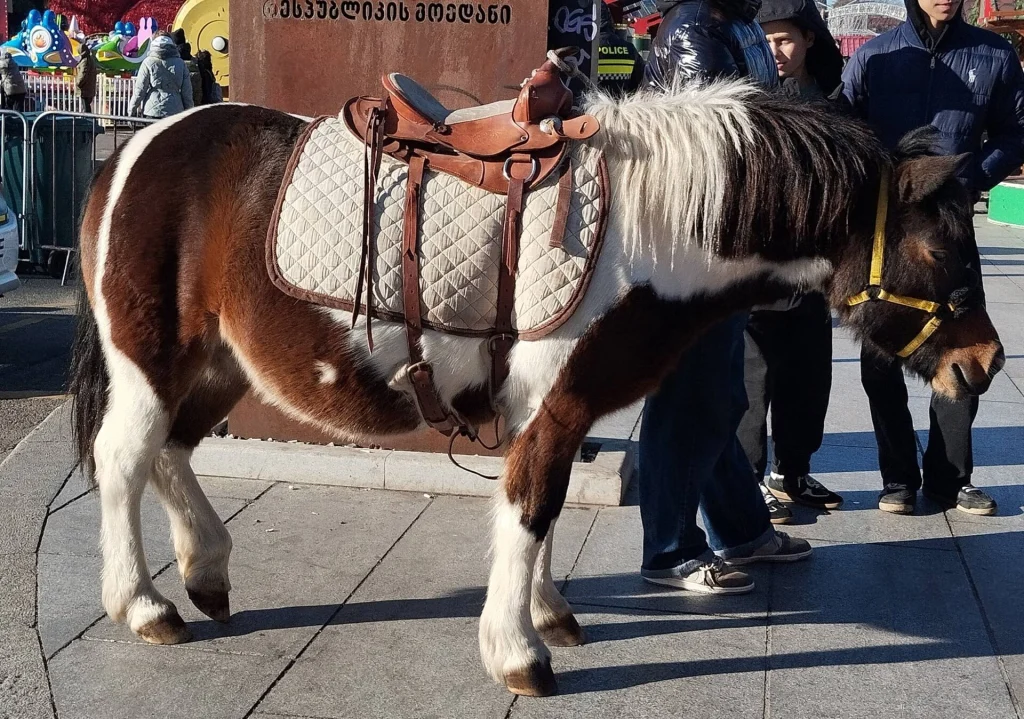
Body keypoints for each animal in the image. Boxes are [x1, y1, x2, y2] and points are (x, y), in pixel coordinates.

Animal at [69, 81, 1004, 698]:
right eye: (939, 248)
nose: (985, 363)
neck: (648, 233)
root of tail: (131, 150)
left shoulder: (560, 410)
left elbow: (544, 512)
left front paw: (547, 611)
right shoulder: (555, 402)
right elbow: (529, 509)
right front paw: (517, 652)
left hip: (220, 361)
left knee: (170, 449)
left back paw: (207, 569)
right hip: (152, 355)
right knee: (124, 457)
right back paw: (143, 603)